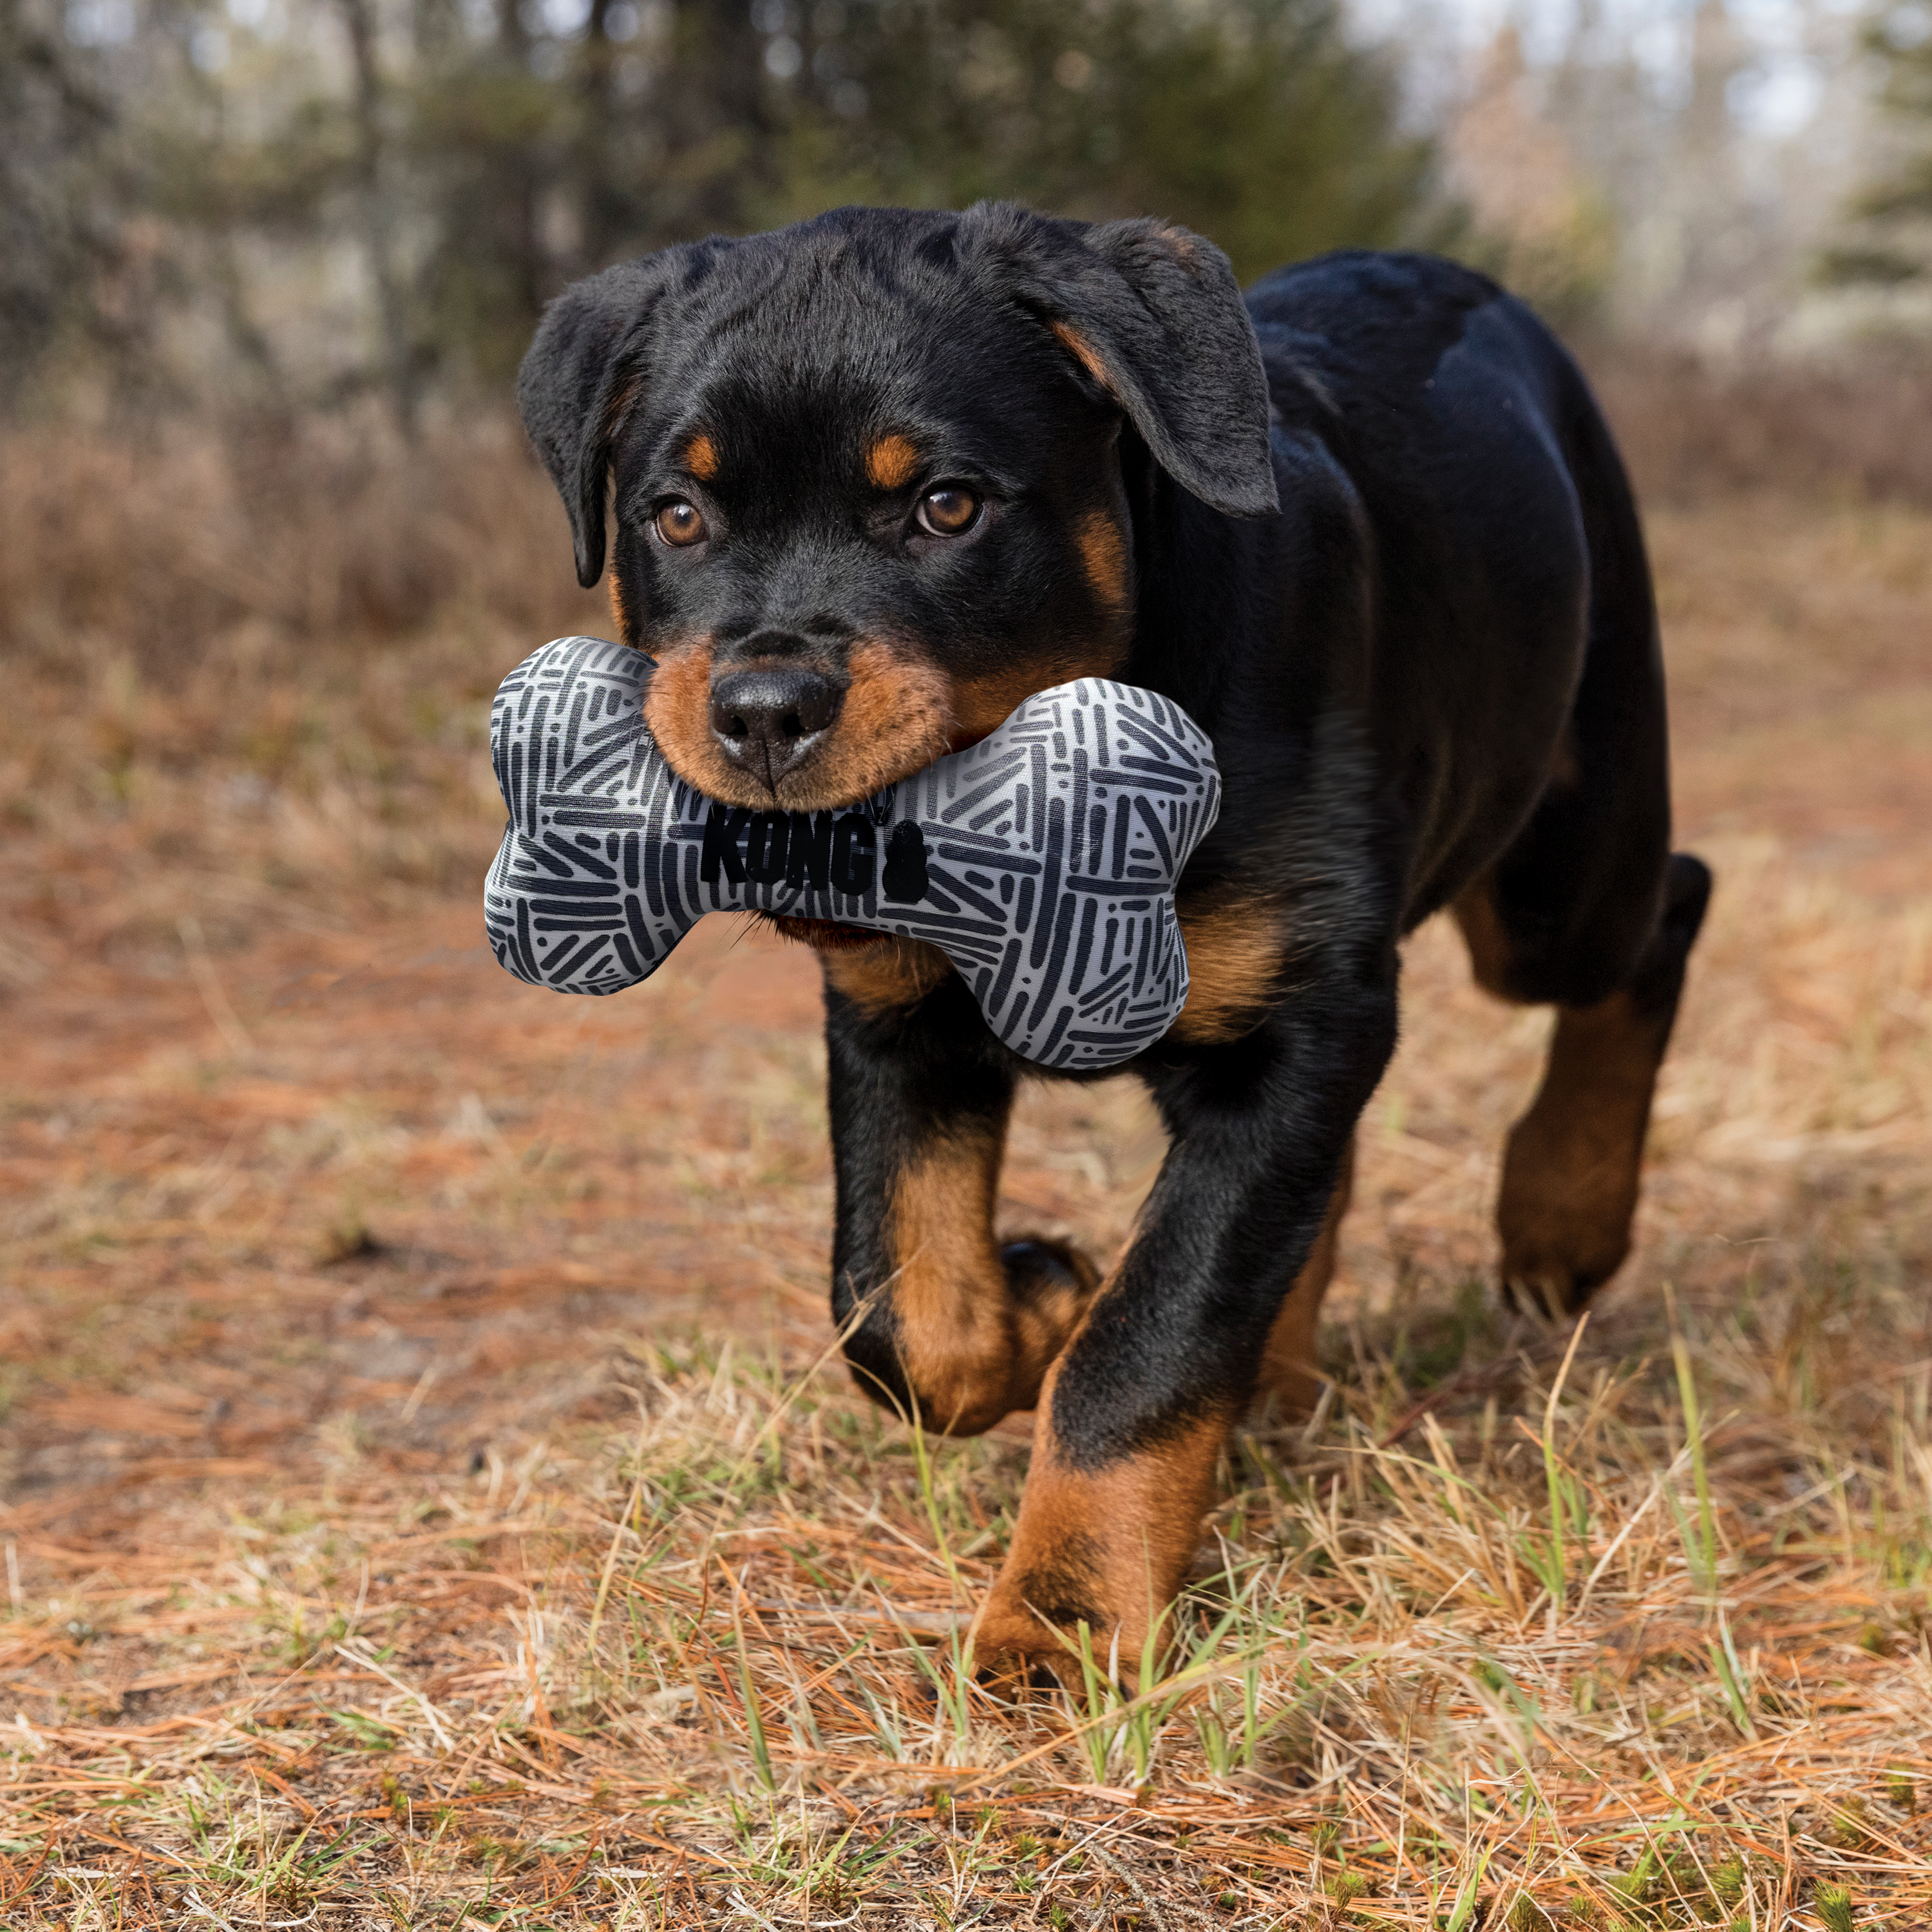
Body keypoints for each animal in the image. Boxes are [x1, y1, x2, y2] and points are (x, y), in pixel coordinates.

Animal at [514, 200, 1708, 1677]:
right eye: (675, 516)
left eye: (947, 505)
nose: (765, 708)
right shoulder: (898, 1015)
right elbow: (898, 1310)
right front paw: (1039, 1294)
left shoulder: (1291, 1028)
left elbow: (1152, 1338)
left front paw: (1064, 1618)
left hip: (1561, 855)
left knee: (1660, 915)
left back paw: (1562, 1212)